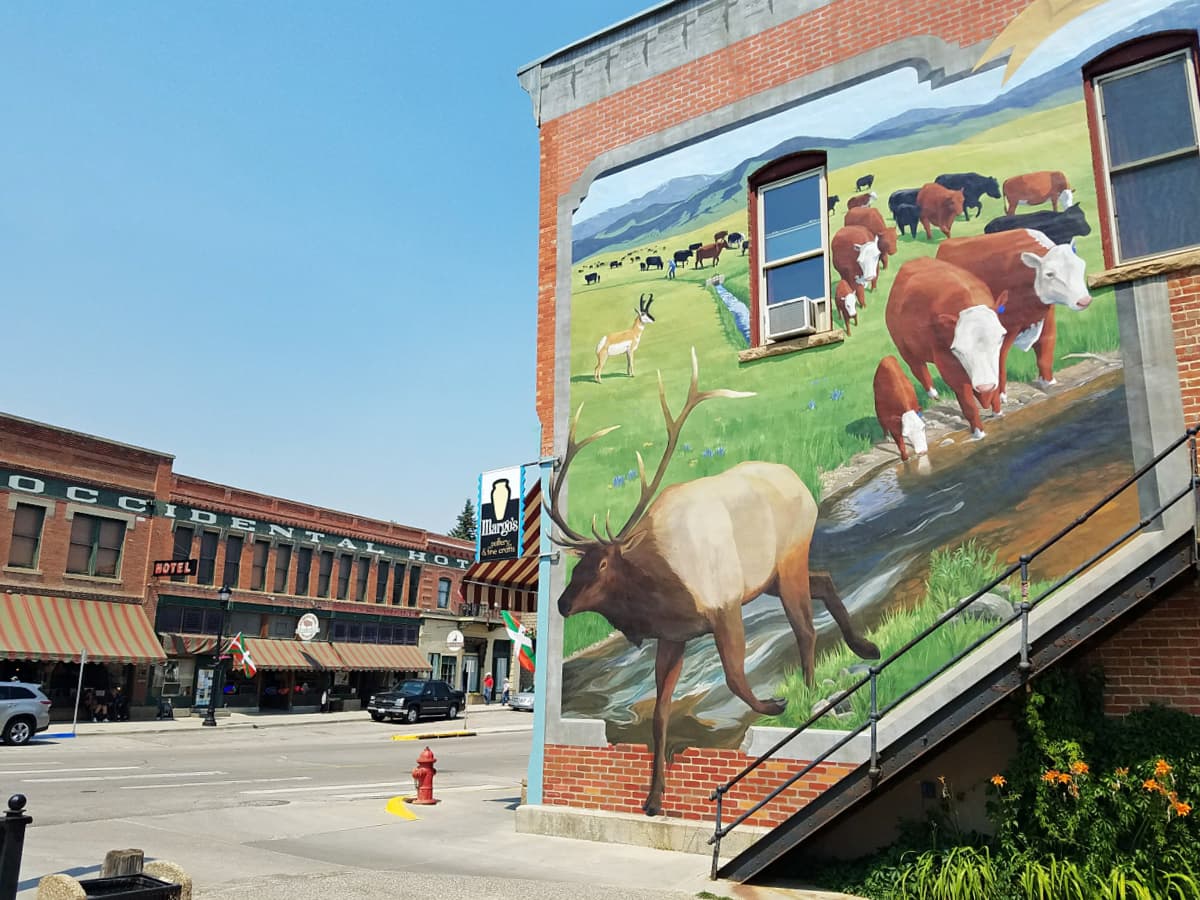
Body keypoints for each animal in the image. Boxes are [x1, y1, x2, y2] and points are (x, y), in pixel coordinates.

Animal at [549, 352, 878, 816]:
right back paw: (865, 647)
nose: (562, 603)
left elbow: (735, 676)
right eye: (578, 566)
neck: (660, 593)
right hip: (770, 578)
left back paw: (810, 688)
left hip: (790, 558)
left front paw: (775, 703)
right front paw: (653, 798)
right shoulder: (674, 635)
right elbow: (659, 714)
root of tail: (801, 483)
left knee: (804, 626)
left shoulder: (724, 605)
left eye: (602, 565)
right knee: (827, 580)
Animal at [888, 256, 1008, 441]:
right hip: (905, 349)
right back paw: (933, 393)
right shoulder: (947, 366)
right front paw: (979, 433)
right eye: (957, 350)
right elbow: (968, 404)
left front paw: (997, 412)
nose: (985, 386)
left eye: (1000, 337)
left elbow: (997, 380)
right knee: (918, 368)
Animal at [936, 229, 1099, 400]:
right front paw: (1001, 396)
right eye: (1049, 274)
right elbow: (1000, 363)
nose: (1084, 301)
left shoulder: (1046, 318)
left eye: (1081, 265)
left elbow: (1046, 352)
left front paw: (1049, 382)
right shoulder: (1004, 328)